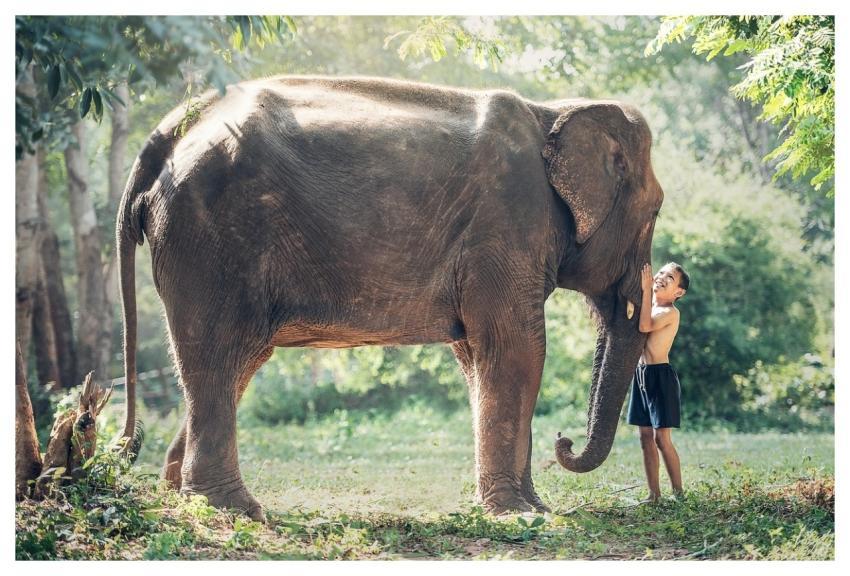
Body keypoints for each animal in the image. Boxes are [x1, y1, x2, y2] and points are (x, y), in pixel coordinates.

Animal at [116, 75, 662, 519]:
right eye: (656, 210)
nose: (564, 441)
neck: (553, 110)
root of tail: (168, 133)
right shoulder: (507, 224)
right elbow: (517, 350)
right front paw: (522, 514)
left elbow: (476, 357)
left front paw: (529, 508)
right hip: (210, 239)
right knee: (219, 352)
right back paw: (235, 510)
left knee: (237, 362)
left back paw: (179, 495)